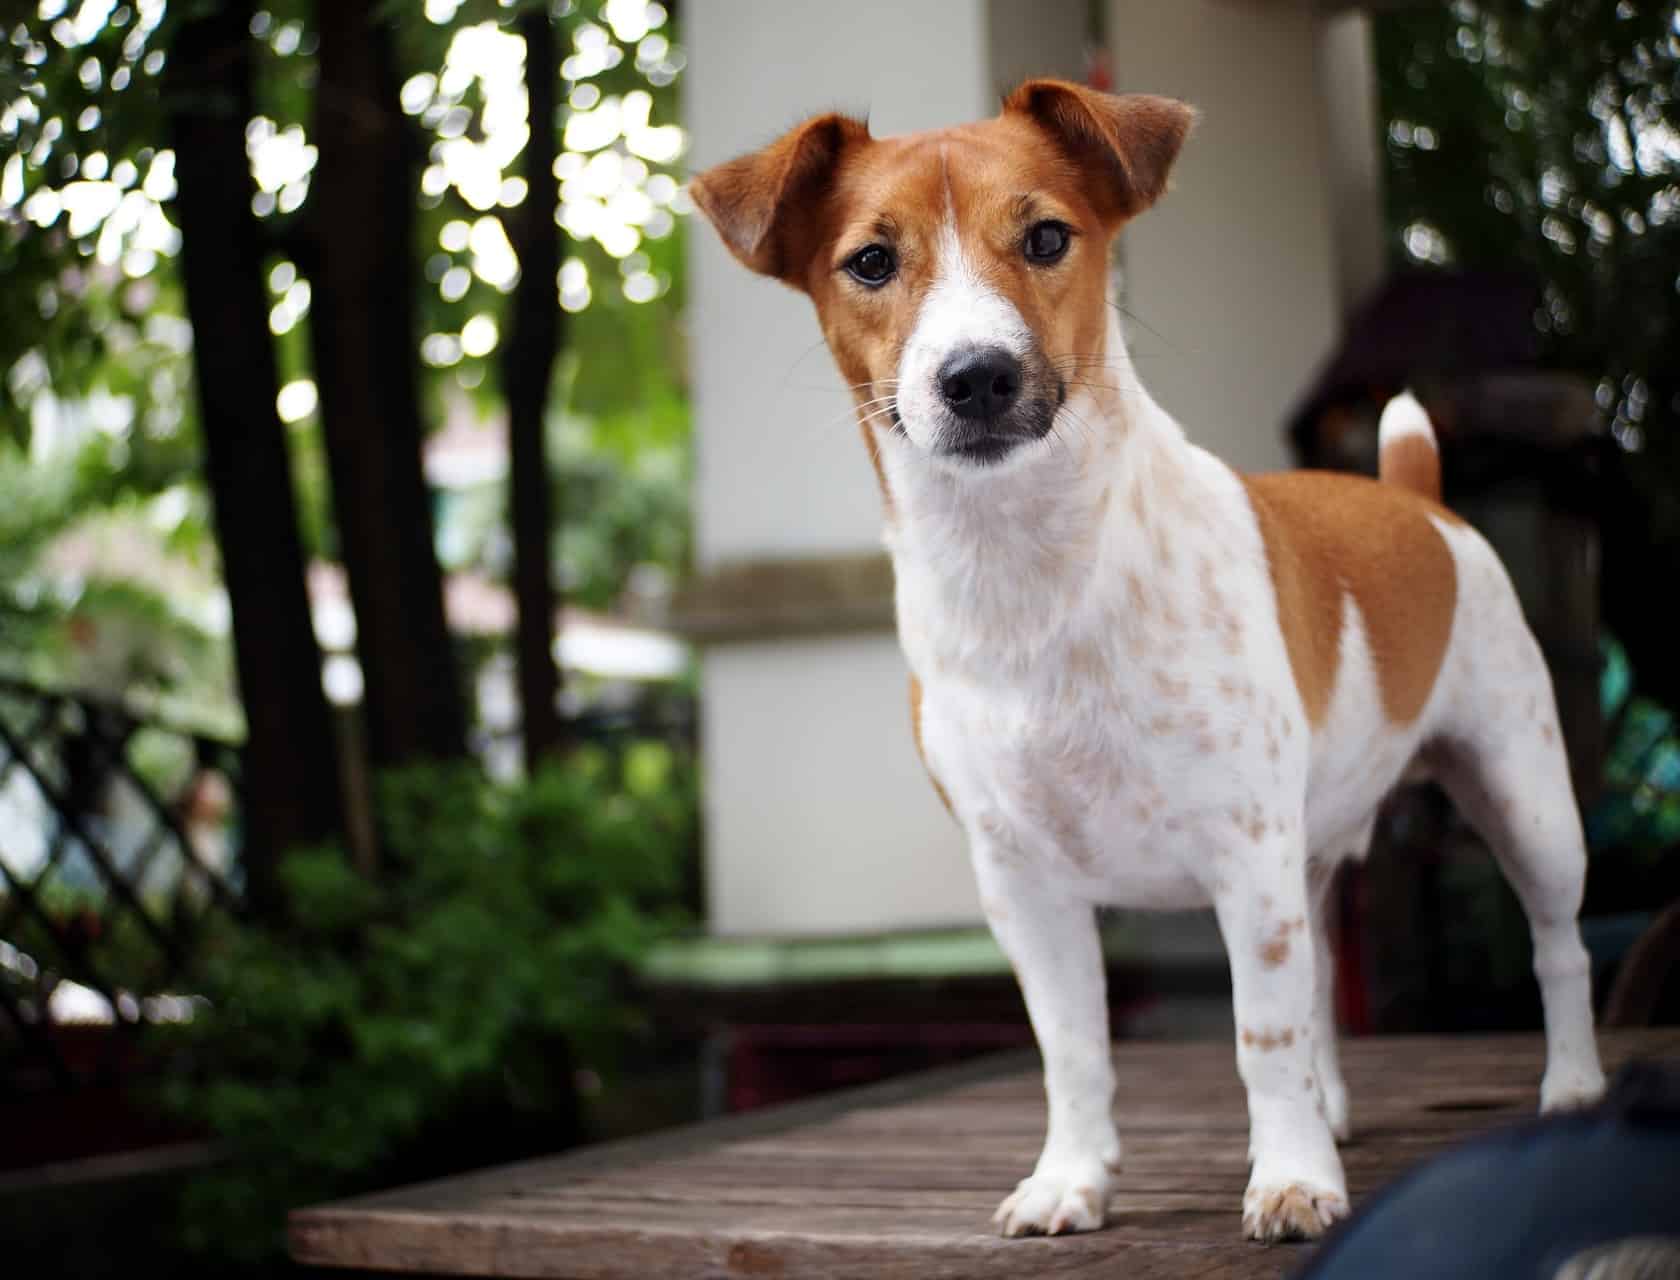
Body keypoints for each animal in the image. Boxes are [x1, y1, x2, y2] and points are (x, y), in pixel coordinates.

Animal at [688, 77, 1606, 1236]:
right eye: (871, 261)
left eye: (1046, 237)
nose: (977, 377)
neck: (1030, 578)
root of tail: (1418, 497)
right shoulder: (1026, 888)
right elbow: (1074, 1048)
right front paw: (1072, 1178)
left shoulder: (1244, 855)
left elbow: (1261, 1035)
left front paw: (1291, 1177)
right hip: (1311, 858)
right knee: (1320, 989)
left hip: (1525, 802)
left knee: (1556, 944)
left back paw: (1571, 1086)